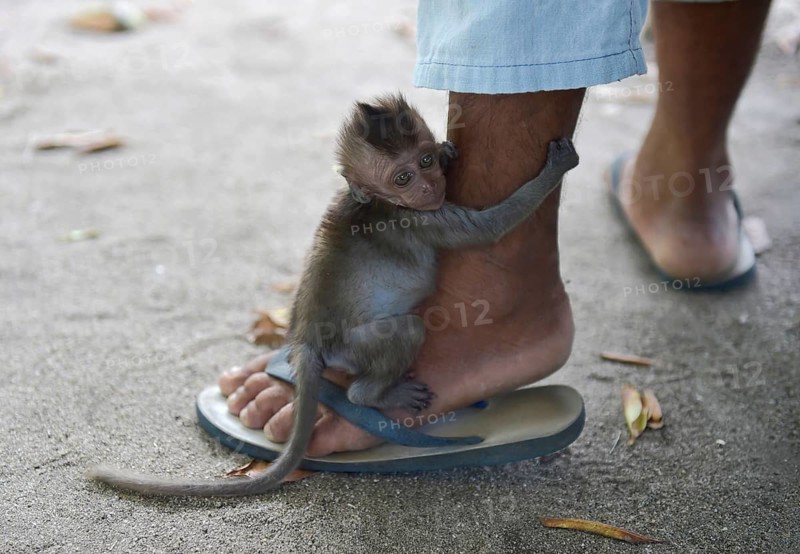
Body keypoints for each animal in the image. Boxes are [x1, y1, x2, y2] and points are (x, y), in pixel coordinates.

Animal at [88, 93, 579, 497]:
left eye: (423, 161)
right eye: (402, 178)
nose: (428, 184)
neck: (377, 200)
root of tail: (303, 341)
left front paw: (447, 148)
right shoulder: (421, 219)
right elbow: (492, 227)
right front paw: (554, 170)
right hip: (353, 348)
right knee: (403, 333)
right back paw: (374, 396)